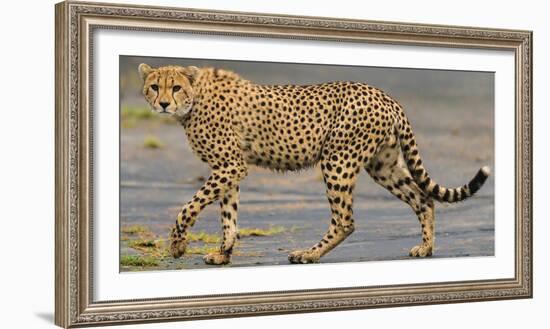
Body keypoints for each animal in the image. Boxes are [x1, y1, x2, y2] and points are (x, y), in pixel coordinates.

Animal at [138, 63, 492, 264]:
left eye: (175, 87)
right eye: (154, 86)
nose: (164, 103)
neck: (194, 99)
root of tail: (384, 95)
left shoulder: (230, 166)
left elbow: (189, 206)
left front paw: (178, 246)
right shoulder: (228, 169)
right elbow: (228, 215)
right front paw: (223, 253)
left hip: (337, 160)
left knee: (345, 220)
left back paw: (308, 254)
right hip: (383, 165)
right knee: (423, 198)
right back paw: (426, 249)